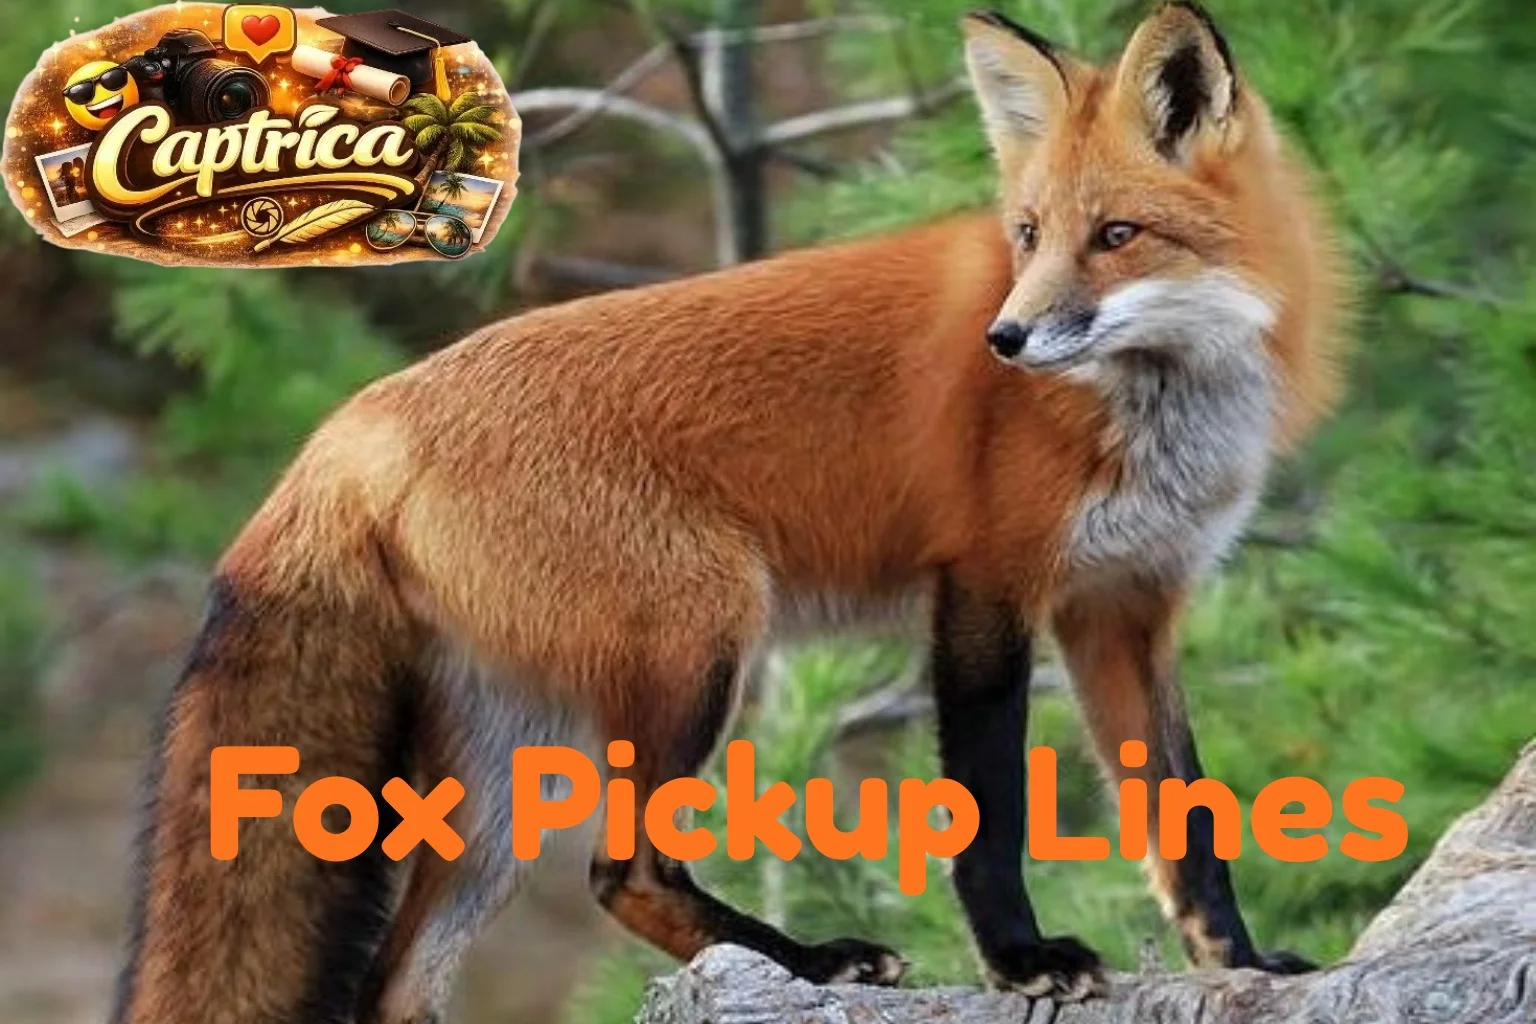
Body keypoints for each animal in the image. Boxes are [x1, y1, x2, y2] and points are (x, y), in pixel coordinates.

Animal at [111, 3, 1345, 1022]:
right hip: (699, 643)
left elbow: (1186, 819)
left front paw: (1242, 964)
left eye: (1117, 236)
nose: (1003, 340)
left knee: (398, 981)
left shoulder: (1124, 607)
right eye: (1030, 234)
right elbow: (990, 809)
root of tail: (354, 420)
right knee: (622, 872)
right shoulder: (986, 586)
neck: (1158, 405)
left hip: (501, 778)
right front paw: (1024, 962)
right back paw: (814, 961)